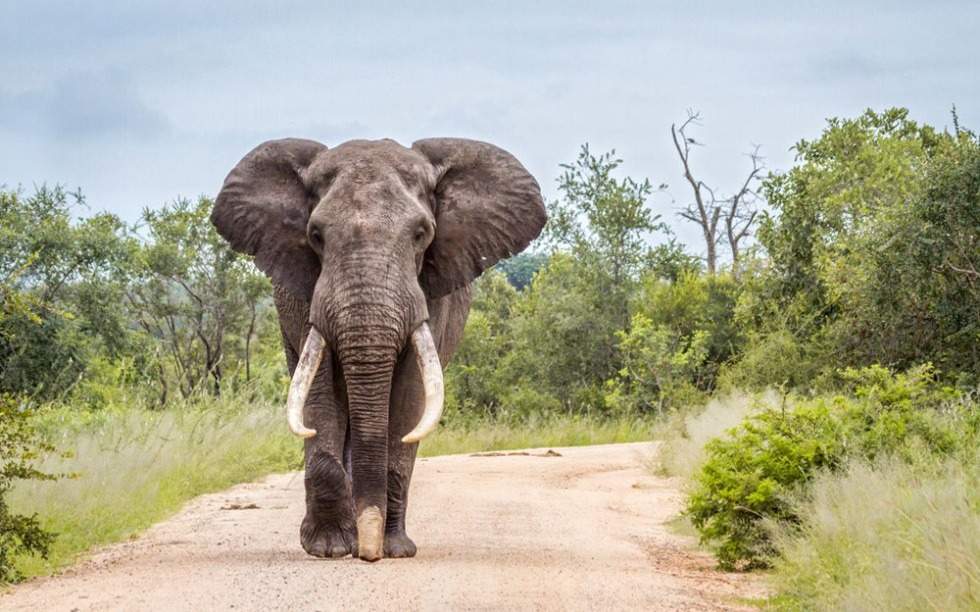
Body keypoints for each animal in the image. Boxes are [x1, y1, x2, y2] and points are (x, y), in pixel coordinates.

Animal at [211, 136, 548, 560]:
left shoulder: (429, 293)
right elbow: (319, 392)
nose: (368, 554)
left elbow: (408, 397)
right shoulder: (307, 293)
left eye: (422, 233)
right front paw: (329, 547)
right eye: (316, 235)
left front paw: (392, 549)